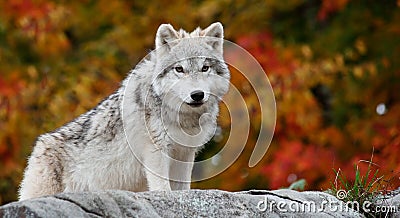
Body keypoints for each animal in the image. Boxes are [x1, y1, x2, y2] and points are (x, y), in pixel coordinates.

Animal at [19, 21, 231, 199]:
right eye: (179, 69)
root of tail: (39, 145)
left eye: (205, 68)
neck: (184, 119)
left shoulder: (185, 153)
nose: (197, 94)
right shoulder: (156, 150)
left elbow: (183, 188)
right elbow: (163, 188)